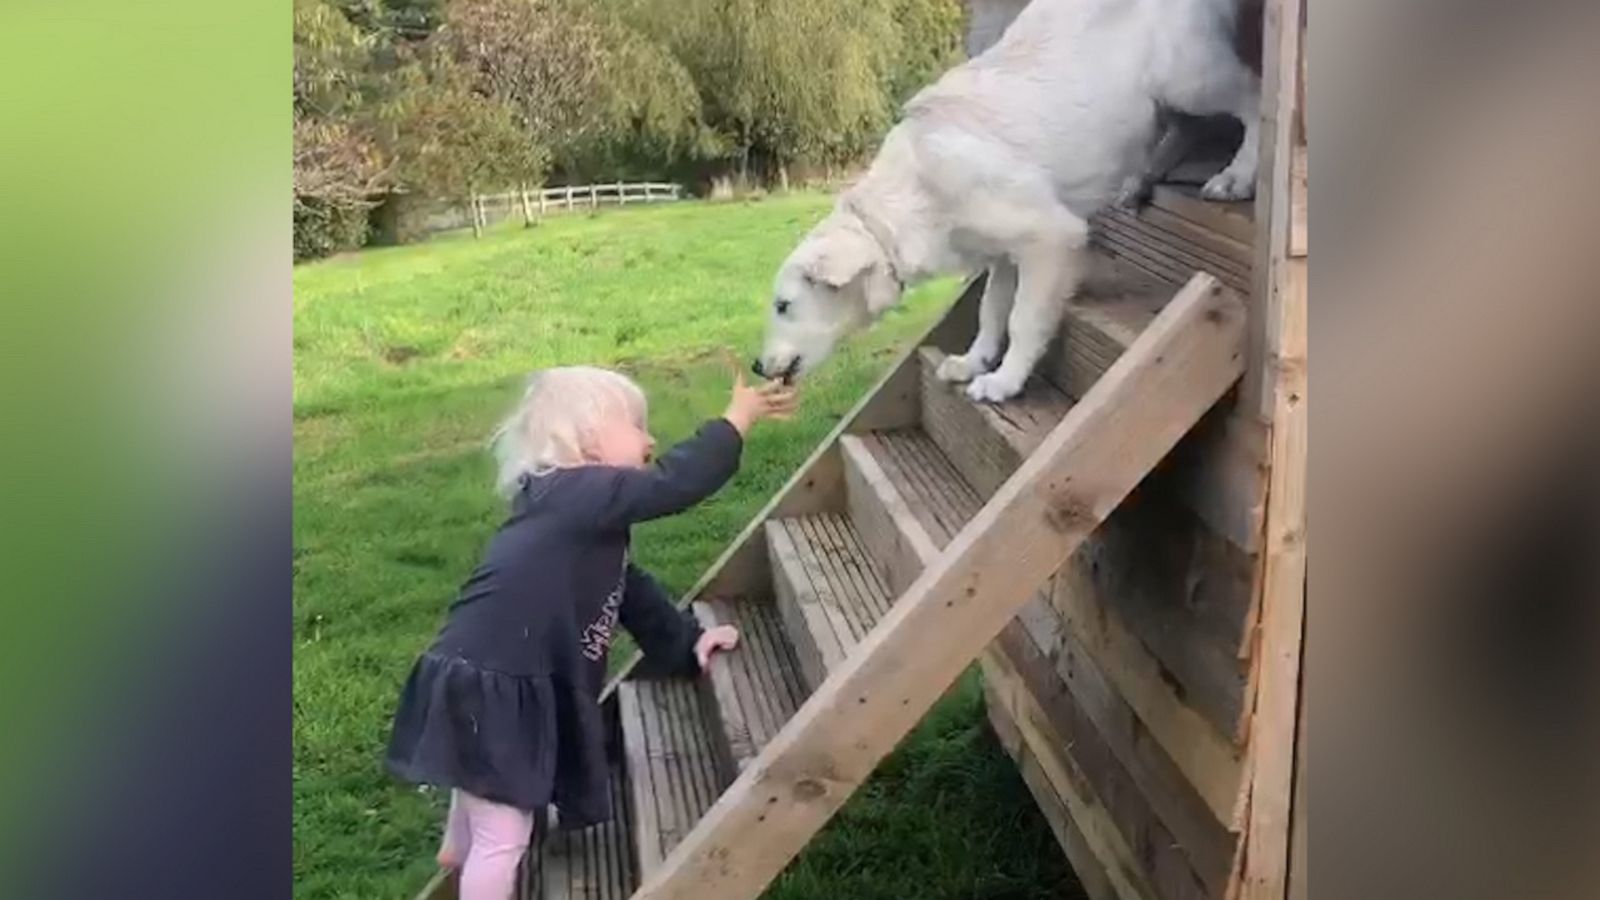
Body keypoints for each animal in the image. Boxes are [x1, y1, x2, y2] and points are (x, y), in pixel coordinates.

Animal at [755, 0, 1254, 398]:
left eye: (783, 306)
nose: (757, 367)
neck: (915, 192)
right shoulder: (1002, 255)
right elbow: (991, 311)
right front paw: (974, 362)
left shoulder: (1050, 237)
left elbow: (1023, 319)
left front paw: (1003, 382)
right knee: (1188, 126)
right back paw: (1143, 180)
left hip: (1188, 77)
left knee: (1250, 100)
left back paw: (1238, 176)